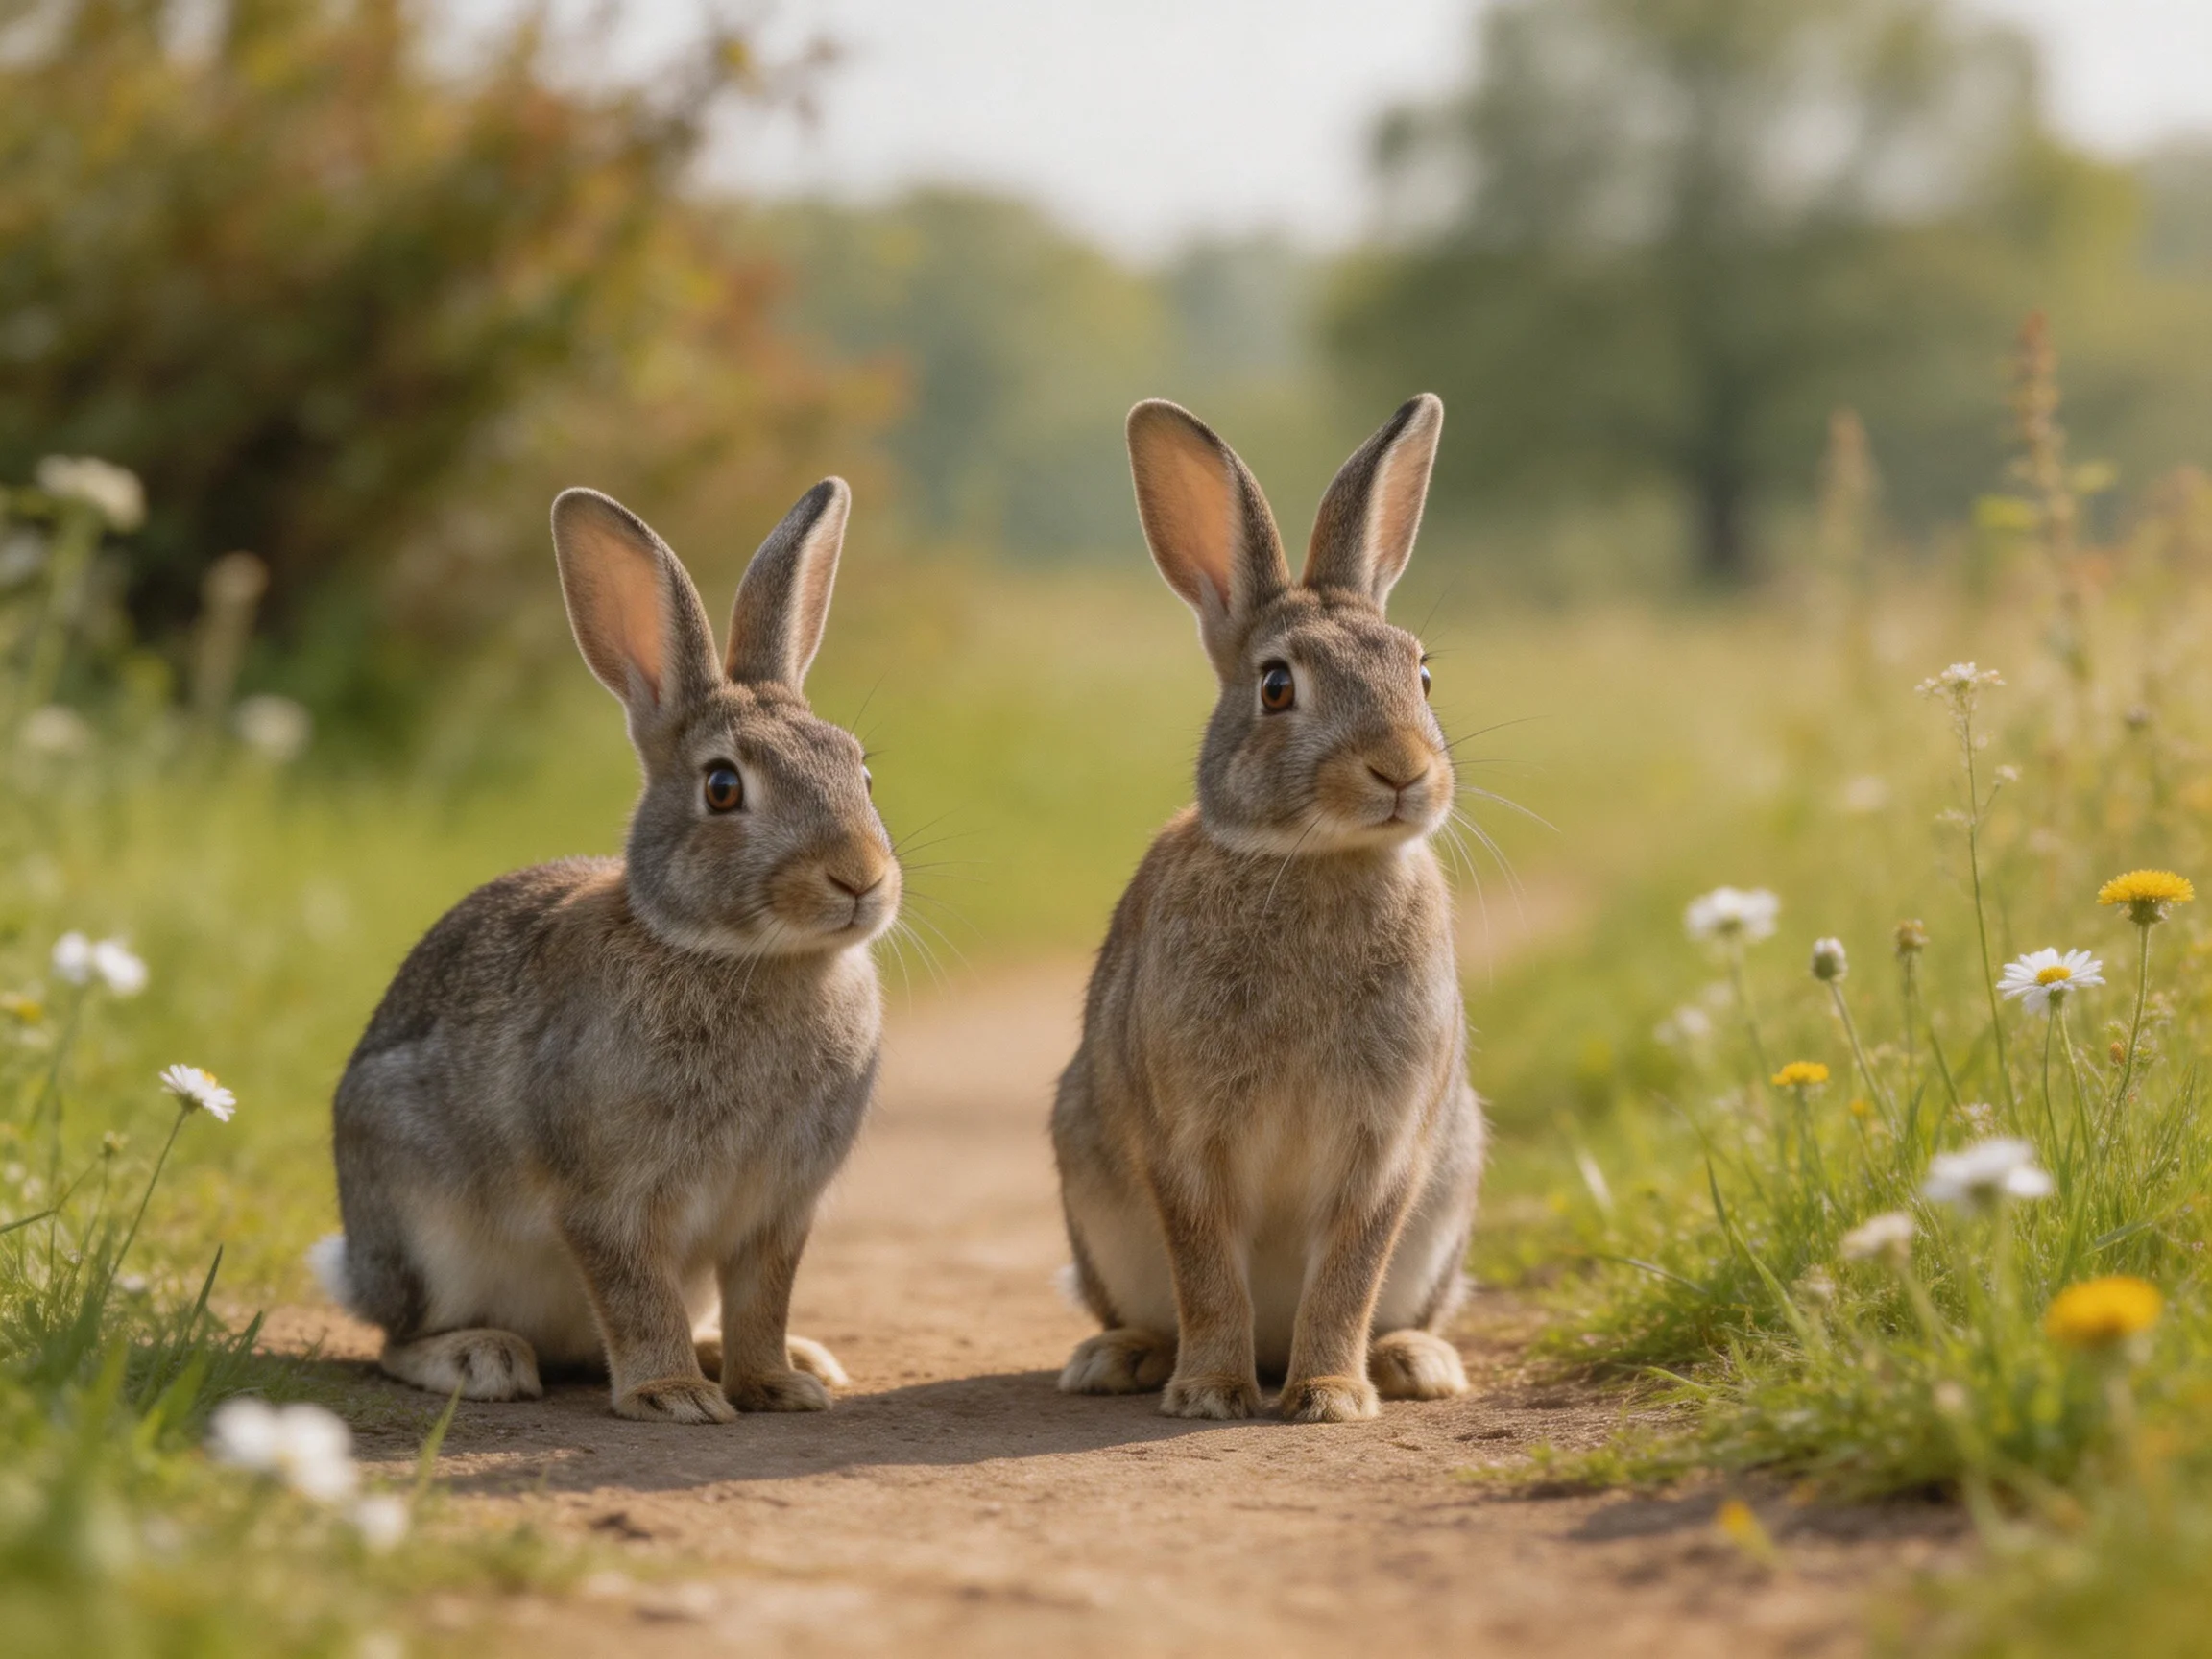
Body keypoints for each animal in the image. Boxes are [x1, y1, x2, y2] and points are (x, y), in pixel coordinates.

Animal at [311, 479, 898, 1423]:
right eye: (723, 787)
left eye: (862, 773)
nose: (860, 876)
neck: (739, 957)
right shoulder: (607, 1197)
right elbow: (633, 1289)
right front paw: (673, 1396)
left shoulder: (777, 1210)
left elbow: (764, 1298)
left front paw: (777, 1384)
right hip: (421, 1230)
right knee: (398, 1339)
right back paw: (482, 1359)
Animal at [1051, 394, 1487, 1424]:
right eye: (1277, 685)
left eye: (1422, 674)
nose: (1402, 768)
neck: (1318, 860)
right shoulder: (1185, 1136)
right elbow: (1208, 1263)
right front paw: (1211, 1393)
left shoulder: (1388, 1142)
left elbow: (1351, 1266)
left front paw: (1330, 1396)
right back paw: (1123, 1359)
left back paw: (1408, 1362)